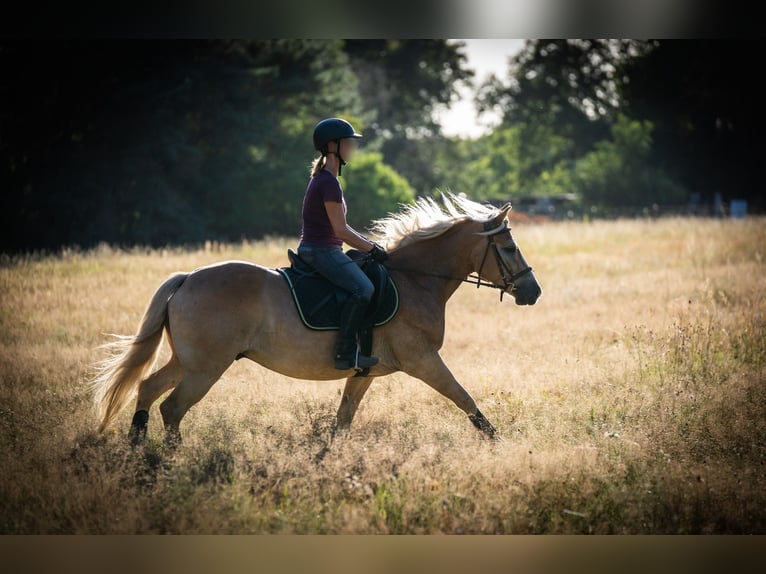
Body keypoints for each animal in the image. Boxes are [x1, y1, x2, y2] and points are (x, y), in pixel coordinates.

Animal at [90, 195, 544, 446]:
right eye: (508, 247)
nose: (533, 292)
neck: (415, 280)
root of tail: (187, 279)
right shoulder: (423, 361)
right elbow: (465, 399)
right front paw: (500, 444)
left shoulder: (365, 372)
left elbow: (343, 420)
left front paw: (331, 460)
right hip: (206, 367)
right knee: (172, 408)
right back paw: (168, 461)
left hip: (187, 360)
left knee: (148, 389)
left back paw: (137, 449)